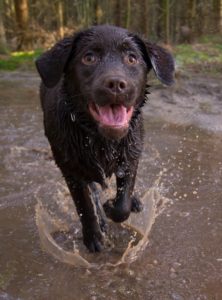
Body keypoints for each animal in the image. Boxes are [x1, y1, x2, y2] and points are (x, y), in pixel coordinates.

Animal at [35, 24, 174, 252]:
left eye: (132, 58)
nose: (116, 84)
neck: (101, 140)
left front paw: (114, 206)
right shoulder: (70, 169)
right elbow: (84, 205)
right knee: (92, 191)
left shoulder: (131, 157)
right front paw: (93, 236)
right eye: (89, 58)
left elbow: (123, 202)